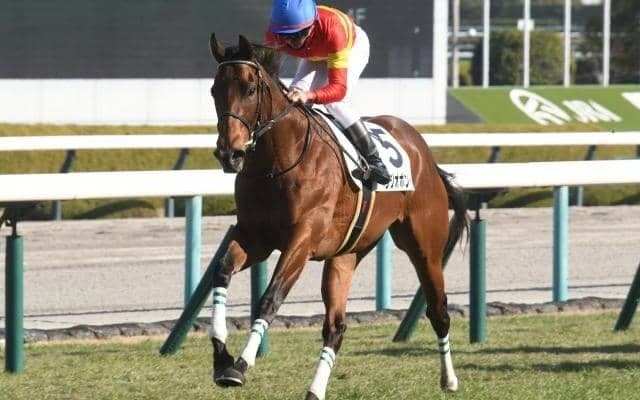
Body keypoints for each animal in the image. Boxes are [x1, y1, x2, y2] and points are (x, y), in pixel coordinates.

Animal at [207, 33, 469, 400]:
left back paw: (449, 379)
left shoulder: (302, 240)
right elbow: (222, 272)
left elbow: (270, 298)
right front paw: (222, 357)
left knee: (439, 311)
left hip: (425, 248)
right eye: (214, 90)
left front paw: (241, 364)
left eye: (249, 89)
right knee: (336, 326)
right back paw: (315, 390)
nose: (229, 154)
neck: (277, 162)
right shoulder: (254, 237)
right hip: (346, 254)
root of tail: (423, 152)